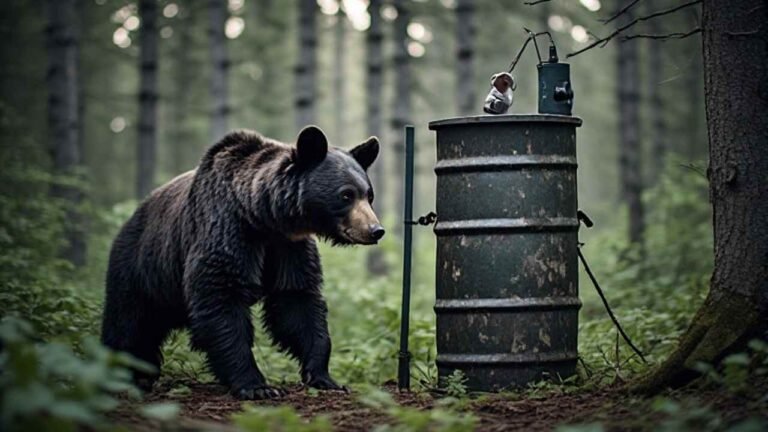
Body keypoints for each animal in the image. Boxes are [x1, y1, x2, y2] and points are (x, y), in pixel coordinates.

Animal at [100, 126, 384, 400]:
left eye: (369, 195)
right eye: (346, 195)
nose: (375, 230)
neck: (262, 216)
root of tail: (129, 219)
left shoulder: (288, 247)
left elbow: (296, 302)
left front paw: (324, 377)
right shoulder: (227, 230)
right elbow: (222, 299)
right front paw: (257, 386)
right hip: (139, 269)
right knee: (128, 323)